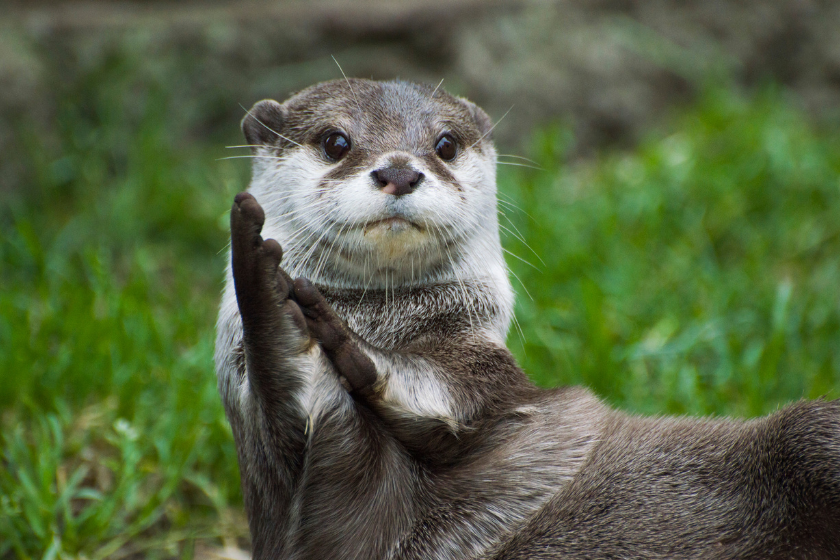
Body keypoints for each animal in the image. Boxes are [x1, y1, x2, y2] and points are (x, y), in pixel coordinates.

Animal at [217, 80, 840, 560]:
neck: (387, 319)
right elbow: (315, 451)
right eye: (335, 140)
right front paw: (275, 302)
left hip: (811, 433)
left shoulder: (486, 374)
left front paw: (341, 341)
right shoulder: (302, 492)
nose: (399, 170)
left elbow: (453, 395)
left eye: (444, 144)